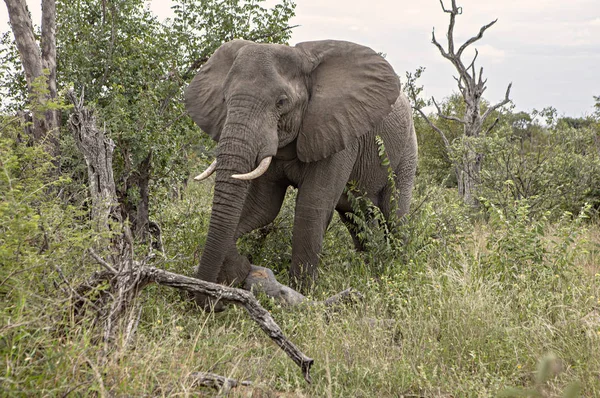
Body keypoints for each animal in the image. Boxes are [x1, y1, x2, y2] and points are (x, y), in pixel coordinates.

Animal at [186, 39, 418, 302]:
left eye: (281, 102)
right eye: (224, 99)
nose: (204, 300)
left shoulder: (337, 133)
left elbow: (311, 207)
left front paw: (303, 292)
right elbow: (263, 207)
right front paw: (238, 271)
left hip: (407, 150)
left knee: (394, 214)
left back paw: (396, 269)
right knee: (355, 220)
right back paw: (369, 268)